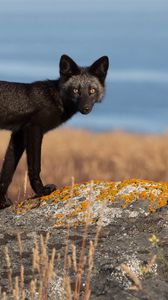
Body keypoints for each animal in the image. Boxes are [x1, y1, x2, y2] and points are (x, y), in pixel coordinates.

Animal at [0, 54, 109, 209]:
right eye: (76, 90)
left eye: (92, 91)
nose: (86, 108)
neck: (56, 100)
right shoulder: (34, 128)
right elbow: (34, 166)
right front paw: (41, 191)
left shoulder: (18, 134)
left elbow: (7, 171)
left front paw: (2, 202)